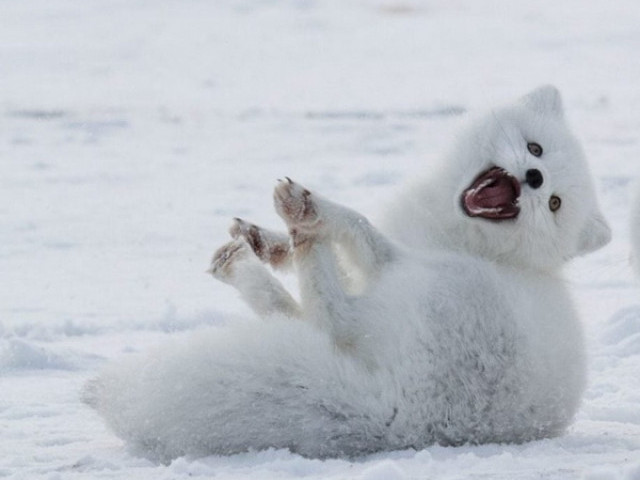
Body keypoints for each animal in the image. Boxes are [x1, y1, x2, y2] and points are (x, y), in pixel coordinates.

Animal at [84, 86, 608, 462]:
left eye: (555, 204)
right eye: (535, 147)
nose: (535, 178)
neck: (459, 233)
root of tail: (402, 420)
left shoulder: (392, 255)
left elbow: (358, 226)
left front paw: (309, 216)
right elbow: (337, 260)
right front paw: (270, 241)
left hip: (430, 283)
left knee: (330, 313)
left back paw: (299, 222)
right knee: (305, 317)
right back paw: (252, 254)